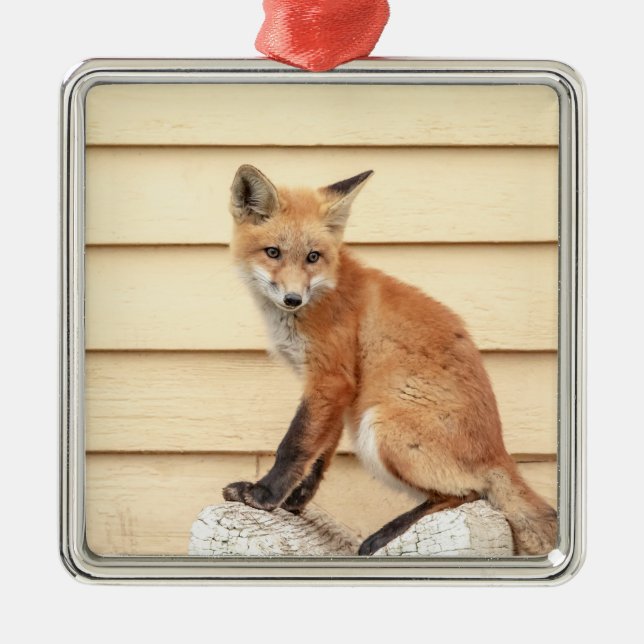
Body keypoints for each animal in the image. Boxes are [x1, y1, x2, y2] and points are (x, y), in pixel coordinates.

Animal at [222, 164, 557, 556]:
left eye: (312, 257)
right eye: (273, 252)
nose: (293, 299)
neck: (322, 292)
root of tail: (500, 453)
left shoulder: (330, 378)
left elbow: (295, 444)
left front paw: (263, 495)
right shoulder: (338, 390)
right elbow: (320, 454)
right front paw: (295, 502)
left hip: (380, 428)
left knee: (470, 493)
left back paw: (387, 532)